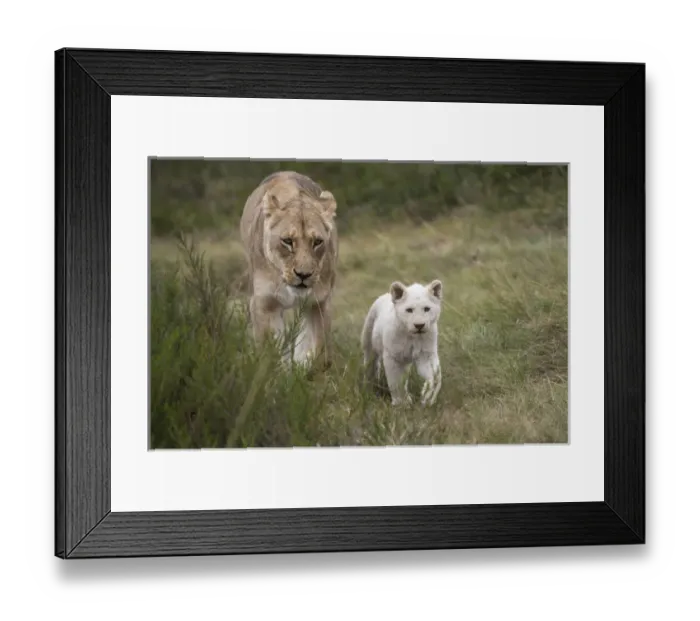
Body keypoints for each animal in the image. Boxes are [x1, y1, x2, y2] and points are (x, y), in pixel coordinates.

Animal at [239, 170, 339, 369]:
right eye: (287, 241)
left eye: (317, 242)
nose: (303, 275)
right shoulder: (264, 303)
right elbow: (269, 355)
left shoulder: (319, 302)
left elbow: (320, 354)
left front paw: (305, 368)